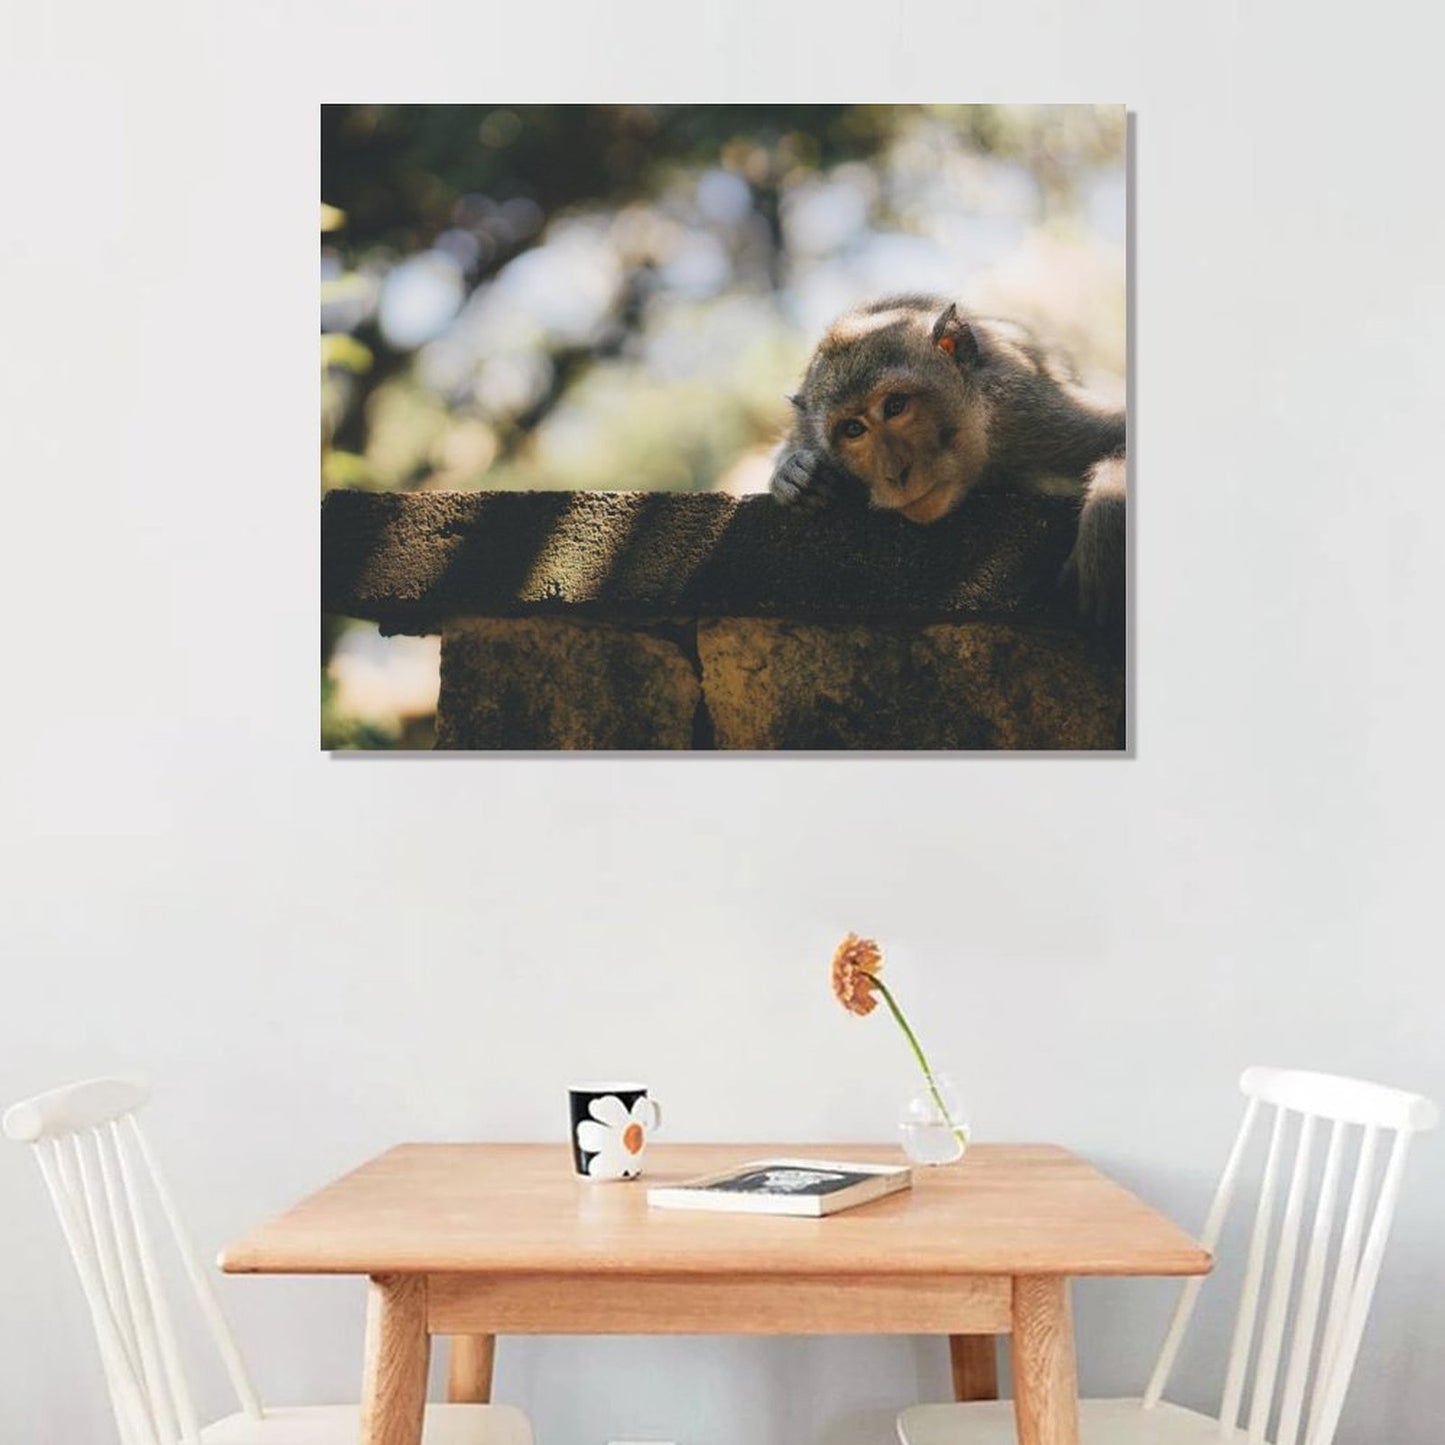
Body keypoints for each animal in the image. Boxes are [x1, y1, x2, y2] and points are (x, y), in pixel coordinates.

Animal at [769, 294, 1126, 624]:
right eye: (853, 429)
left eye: (895, 405)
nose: (895, 473)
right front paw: (794, 476)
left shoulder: (1029, 417)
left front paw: (1107, 512)